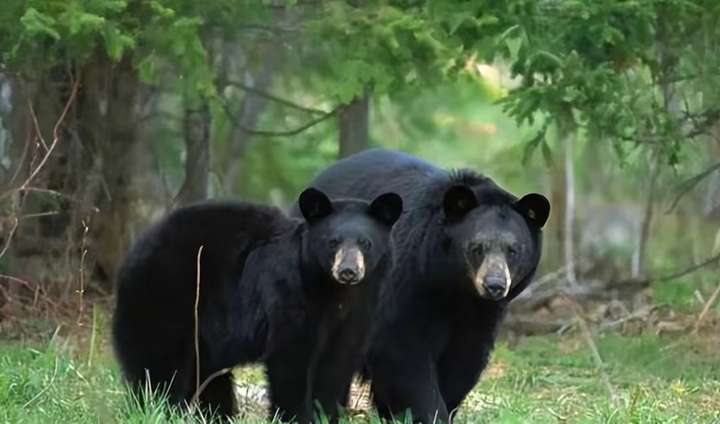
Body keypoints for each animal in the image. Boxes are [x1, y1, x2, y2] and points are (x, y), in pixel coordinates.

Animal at [113, 187, 404, 422]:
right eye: (332, 242)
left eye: (366, 243)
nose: (348, 271)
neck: (335, 293)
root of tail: (133, 253)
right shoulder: (289, 295)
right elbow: (290, 360)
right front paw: (294, 417)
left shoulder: (358, 313)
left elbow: (336, 365)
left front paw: (326, 414)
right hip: (166, 297)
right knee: (156, 366)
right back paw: (157, 409)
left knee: (206, 374)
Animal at [300, 148, 548, 420]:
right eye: (476, 247)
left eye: (513, 250)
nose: (494, 285)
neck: (454, 286)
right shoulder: (407, 281)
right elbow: (401, 349)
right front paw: (430, 412)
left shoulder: (481, 314)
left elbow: (465, 358)